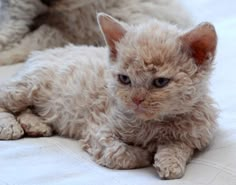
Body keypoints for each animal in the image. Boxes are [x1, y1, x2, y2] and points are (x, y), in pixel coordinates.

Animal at [0, 13, 218, 179]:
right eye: (124, 79)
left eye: (160, 82)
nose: (136, 100)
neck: (154, 123)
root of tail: (38, 54)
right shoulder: (99, 129)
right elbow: (119, 153)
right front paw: (144, 154)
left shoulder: (194, 134)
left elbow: (179, 146)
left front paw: (170, 162)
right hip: (28, 85)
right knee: (5, 100)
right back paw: (10, 127)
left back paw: (35, 125)